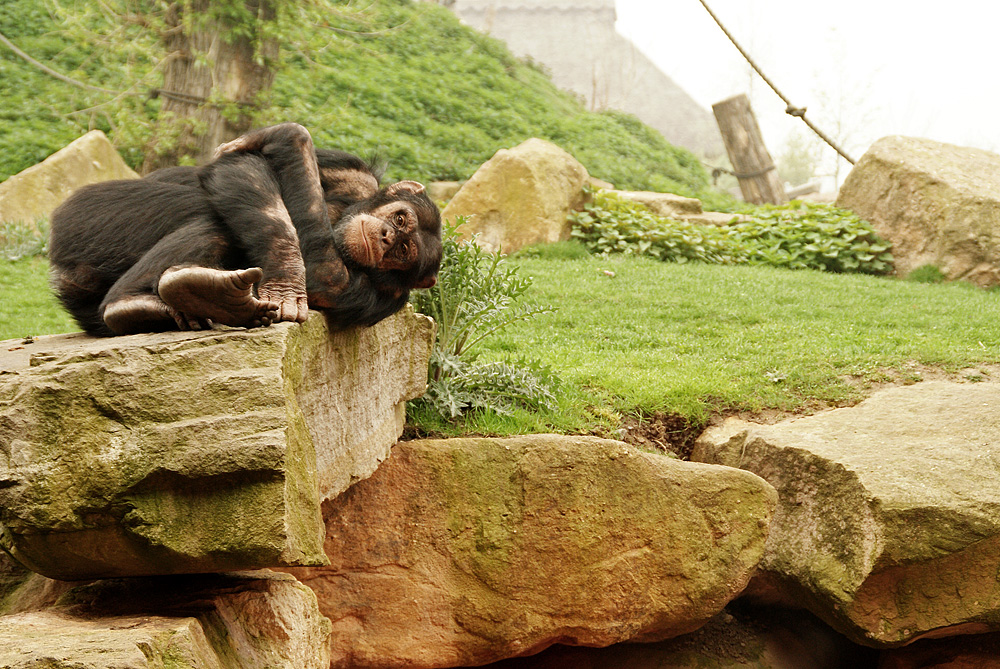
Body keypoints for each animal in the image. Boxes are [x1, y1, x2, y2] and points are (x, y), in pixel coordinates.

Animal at [49, 122, 442, 334]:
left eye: (403, 252)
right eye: (400, 219)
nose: (387, 237)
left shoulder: (378, 299)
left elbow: (323, 274)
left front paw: (287, 282)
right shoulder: (353, 172)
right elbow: (240, 163)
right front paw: (290, 136)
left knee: (213, 225)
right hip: (93, 218)